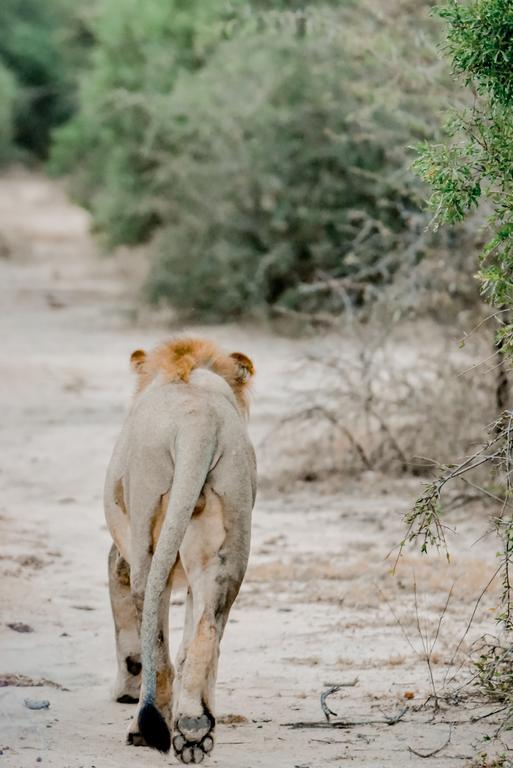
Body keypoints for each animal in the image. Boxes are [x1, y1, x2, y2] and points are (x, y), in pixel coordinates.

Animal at [103, 336, 256, 760]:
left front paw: (126, 691)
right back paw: (193, 729)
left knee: (156, 637)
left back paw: (145, 728)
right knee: (205, 634)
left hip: (146, 531)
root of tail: (196, 421)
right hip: (227, 539)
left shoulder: (121, 555)